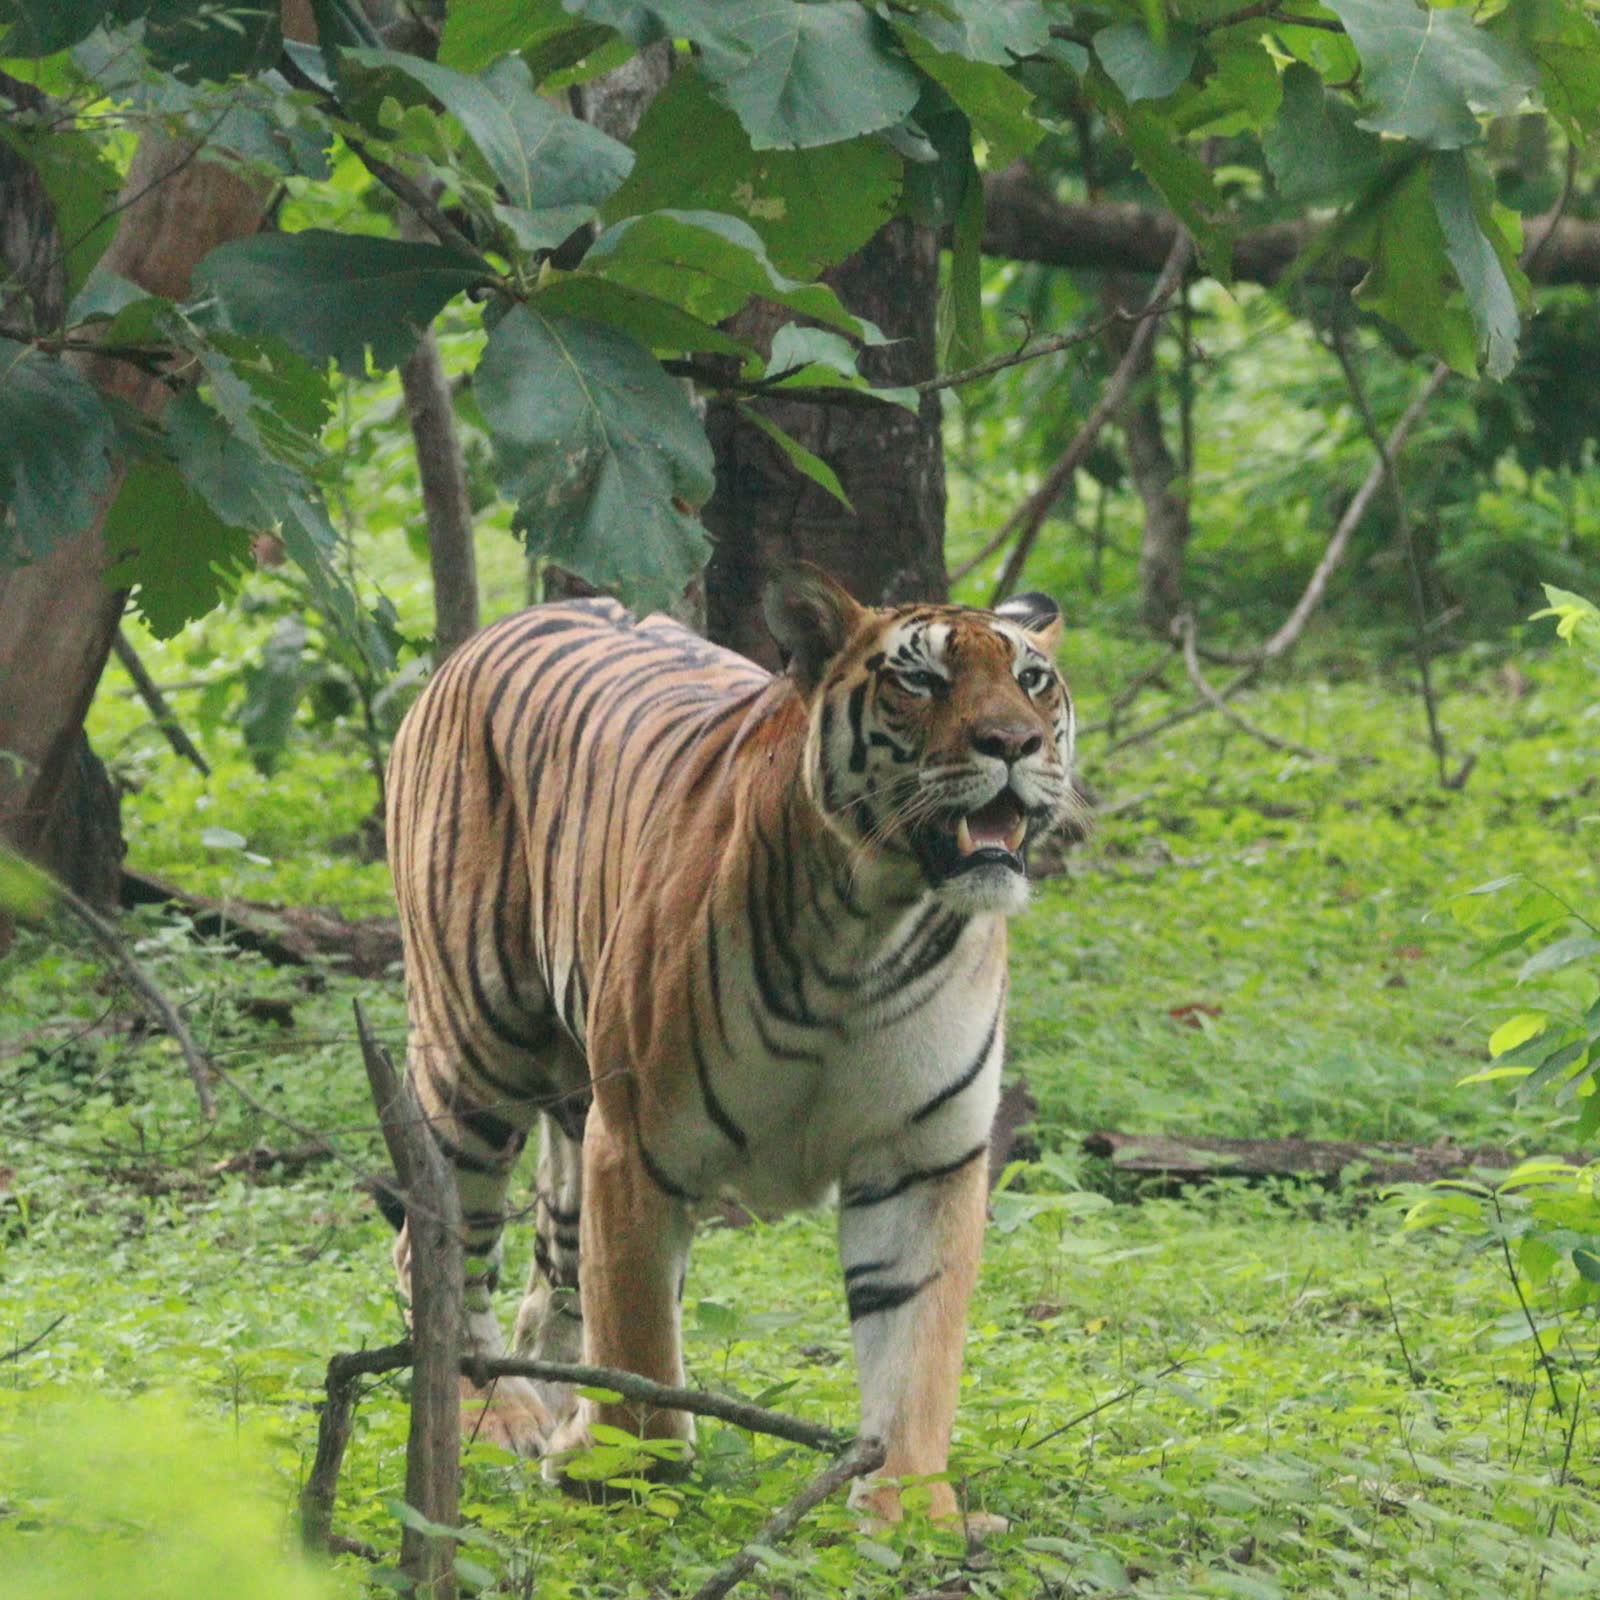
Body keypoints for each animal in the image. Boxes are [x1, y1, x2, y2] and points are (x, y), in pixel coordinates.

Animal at [382, 563, 1084, 1526]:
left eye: (1032, 680)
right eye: (921, 681)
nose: (1013, 742)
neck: (876, 926)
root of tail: (492, 633)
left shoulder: (923, 1155)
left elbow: (916, 1351)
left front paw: (910, 1510)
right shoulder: (636, 1140)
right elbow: (641, 1339)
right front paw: (617, 1471)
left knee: (554, 1266)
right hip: (475, 1053)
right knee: (439, 1246)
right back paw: (493, 1414)